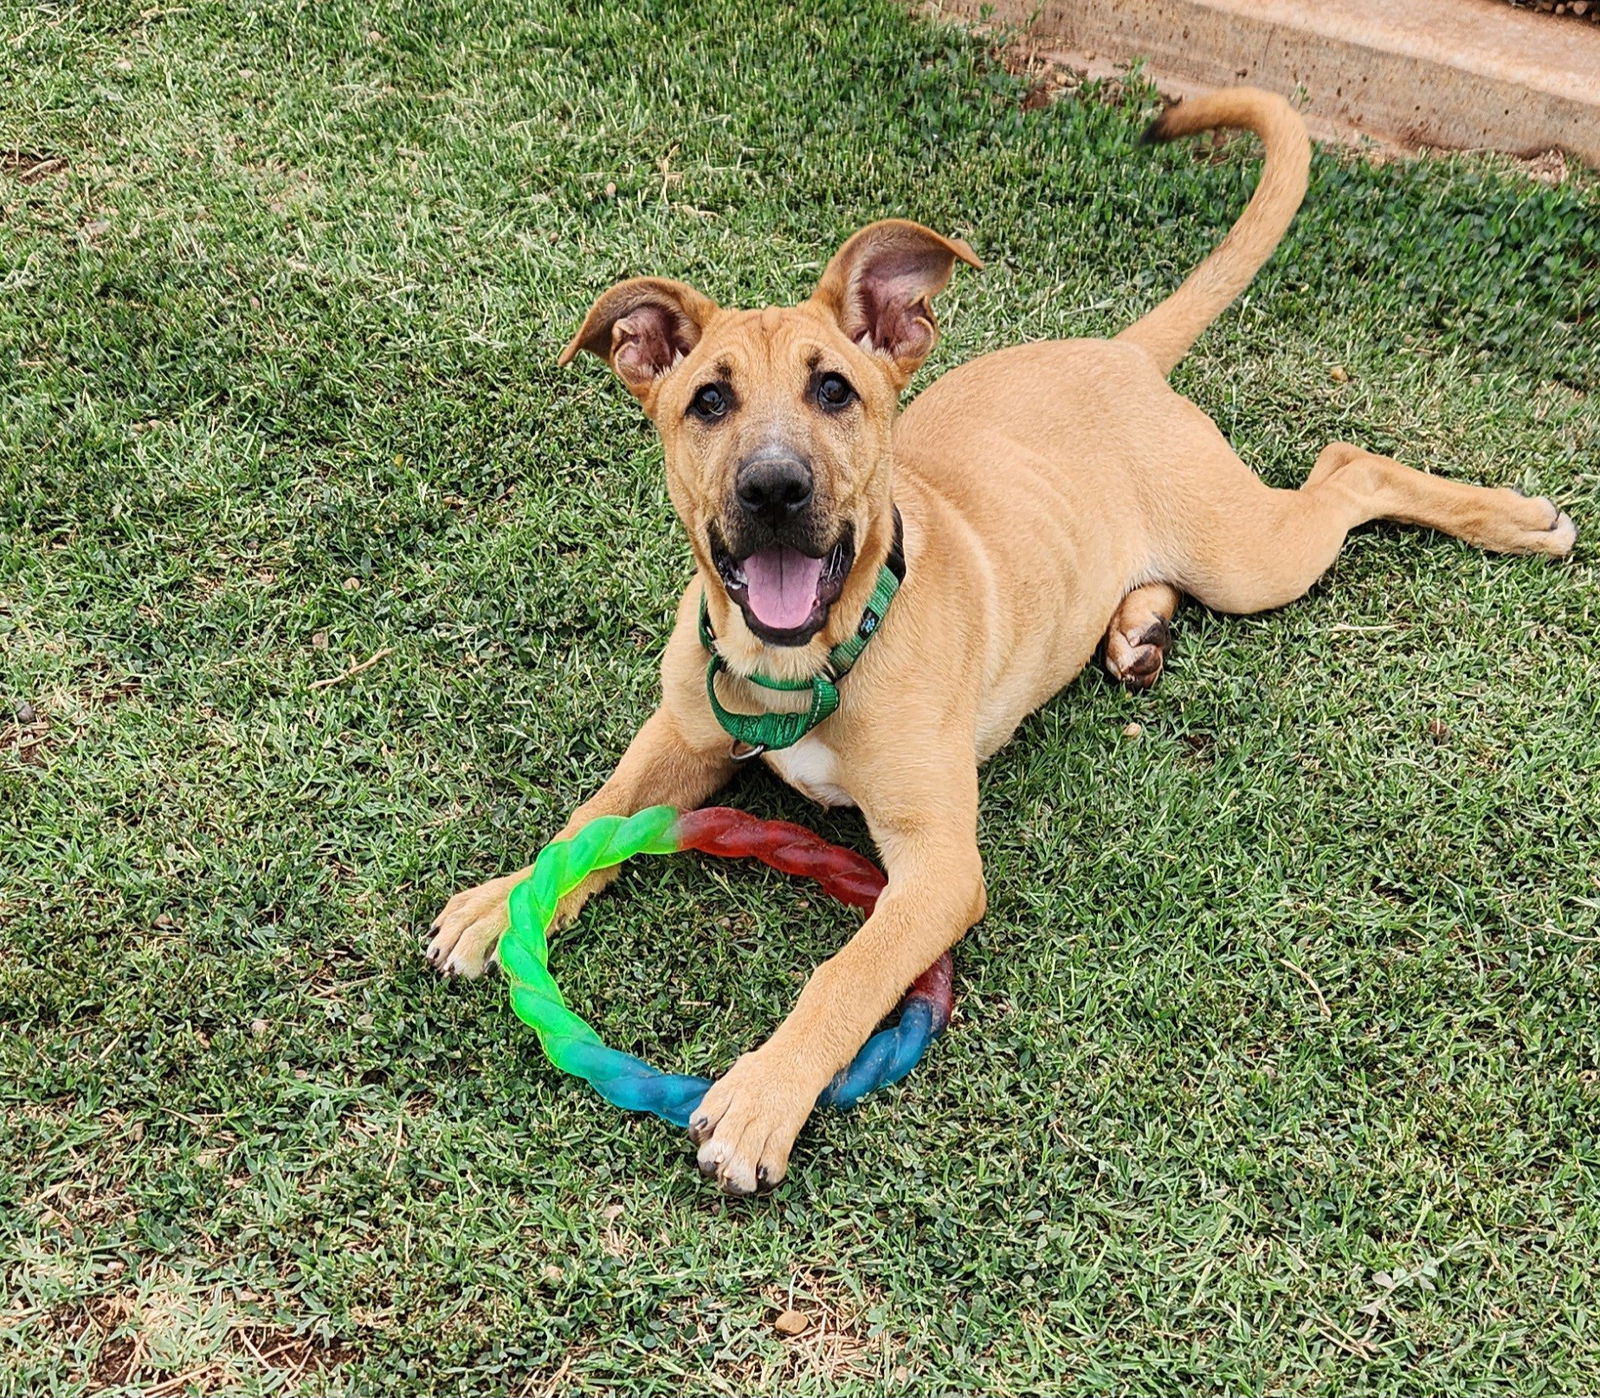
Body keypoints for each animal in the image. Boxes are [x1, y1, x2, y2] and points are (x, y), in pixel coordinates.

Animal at [425, 87, 1574, 1190]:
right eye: (707, 400)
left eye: (833, 389)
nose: (774, 489)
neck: (807, 662)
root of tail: (1121, 352)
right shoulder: (682, 733)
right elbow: (595, 815)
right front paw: (496, 903)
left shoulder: (938, 867)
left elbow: (847, 973)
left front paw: (763, 1096)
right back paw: (1137, 628)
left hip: (1250, 557)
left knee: (1349, 468)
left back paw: (1515, 520)